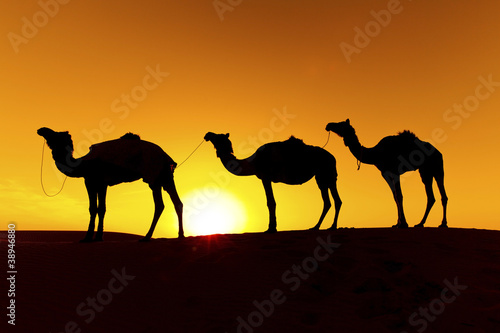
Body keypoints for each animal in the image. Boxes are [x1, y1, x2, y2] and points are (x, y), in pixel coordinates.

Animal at [37, 127, 184, 241]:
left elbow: (96, 208)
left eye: (55, 134)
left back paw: (147, 237)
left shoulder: (94, 181)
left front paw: (89, 238)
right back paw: (179, 235)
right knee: (175, 202)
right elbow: (99, 208)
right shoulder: (98, 183)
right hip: (164, 177)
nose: (41, 130)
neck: (83, 164)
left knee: (160, 204)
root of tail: (166, 157)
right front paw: (96, 237)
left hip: (154, 176)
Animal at [205, 132, 342, 231]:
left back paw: (329, 227)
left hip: (326, 173)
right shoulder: (266, 178)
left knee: (333, 200)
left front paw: (271, 228)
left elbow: (270, 202)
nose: (207, 134)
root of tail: (333, 158)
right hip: (323, 177)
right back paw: (319, 227)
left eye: (218, 137)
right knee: (331, 201)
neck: (253, 162)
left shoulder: (265, 177)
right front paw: (272, 227)